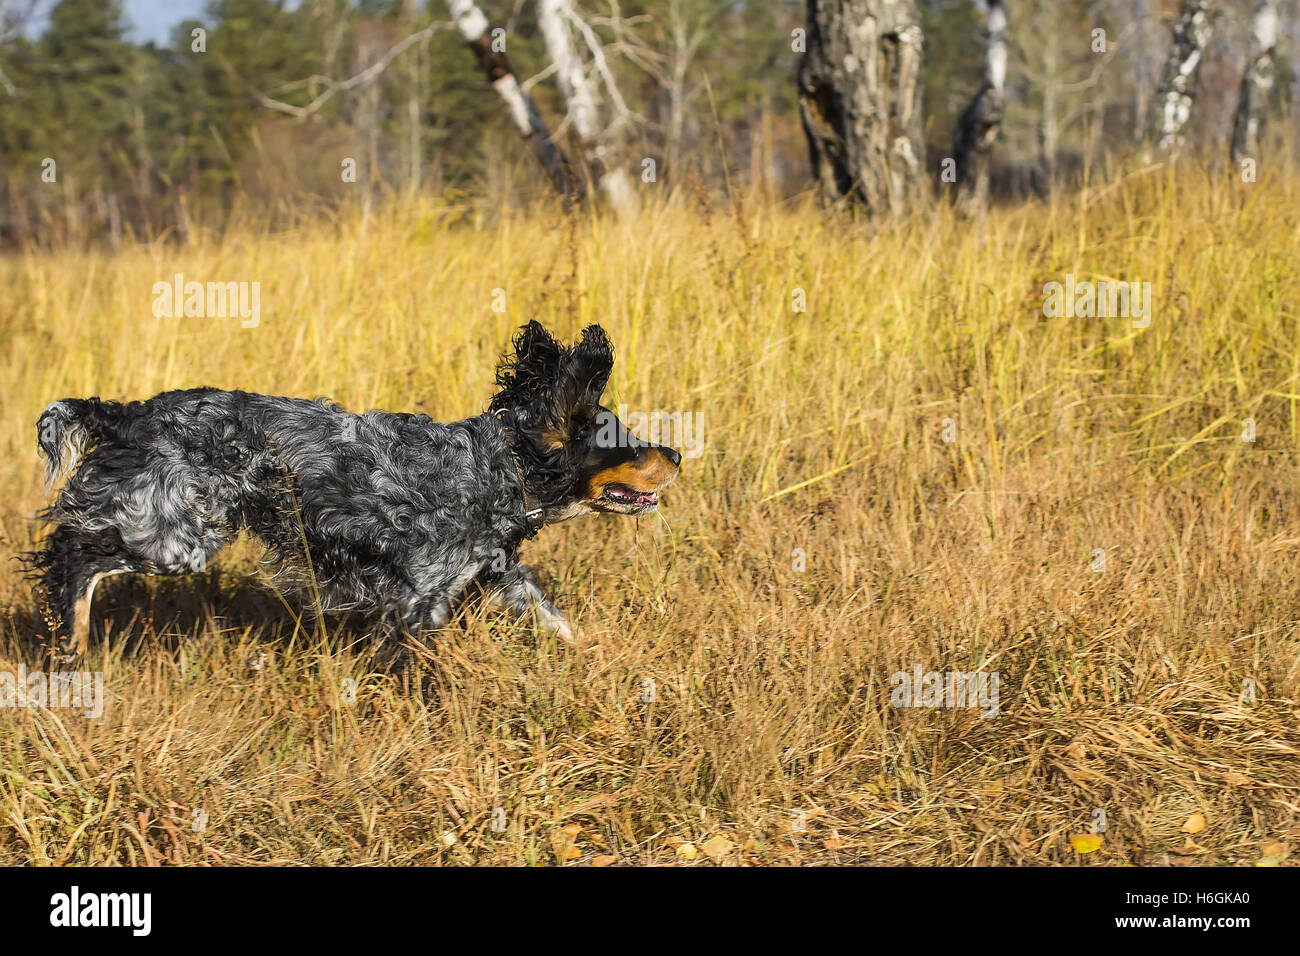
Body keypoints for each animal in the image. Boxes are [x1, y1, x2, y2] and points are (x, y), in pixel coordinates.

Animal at [27, 321, 681, 658]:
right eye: (627, 443)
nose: (675, 453)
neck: (498, 467)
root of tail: (128, 413)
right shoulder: (419, 601)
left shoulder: (499, 574)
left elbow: (555, 618)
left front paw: (596, 658)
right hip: (177, 537)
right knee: (71, 552)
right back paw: (69, 636)